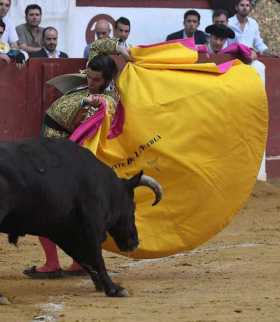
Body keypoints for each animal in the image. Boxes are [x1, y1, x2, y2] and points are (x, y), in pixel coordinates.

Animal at [0, 138, 162, 300]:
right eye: (133, 206)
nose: (134, 243)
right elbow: (96, 257)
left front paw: (100, 285)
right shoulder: (91, 225)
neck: (106, 187)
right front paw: (114, 289)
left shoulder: (62, 231)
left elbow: (83, 258)